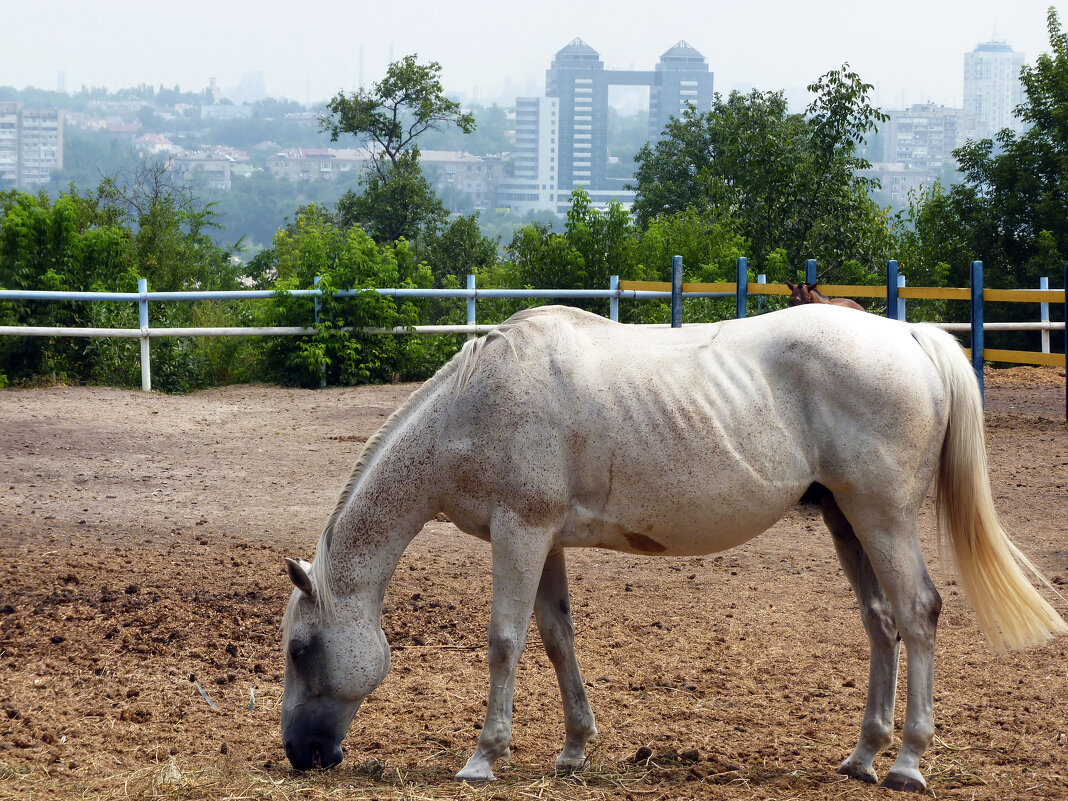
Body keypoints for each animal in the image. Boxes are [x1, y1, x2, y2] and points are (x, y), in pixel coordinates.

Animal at [279, 303, 1063, 794]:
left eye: (299, 647)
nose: (300, 755)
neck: (476, 403)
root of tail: (908, 337)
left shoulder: (519, 532)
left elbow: (505, 641)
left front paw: (483, 758)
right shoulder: (543, 538)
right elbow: (557, 637)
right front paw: (573, 748)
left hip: (884, 517)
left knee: (920, 613)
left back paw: (907, 764)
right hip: (848, 522)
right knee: (882, 623)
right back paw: (863, 756)